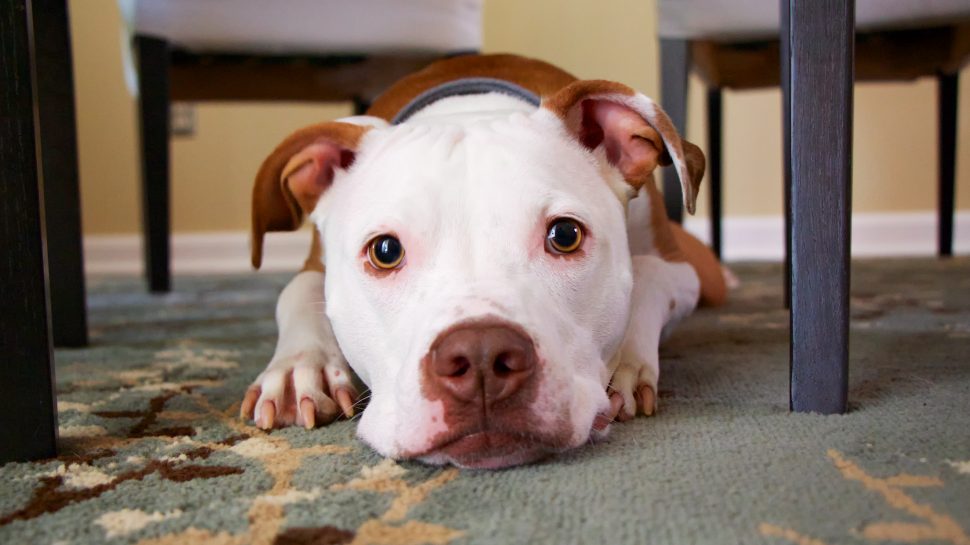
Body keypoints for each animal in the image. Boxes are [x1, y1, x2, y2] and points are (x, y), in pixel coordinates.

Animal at [242, 54, 728, 468]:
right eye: (385, 251)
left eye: (565, 235)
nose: (480, 357)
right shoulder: (315, 265)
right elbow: (296, 290)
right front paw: (300, 369)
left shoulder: (681, 270)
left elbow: (648, 274)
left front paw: (626, 362)